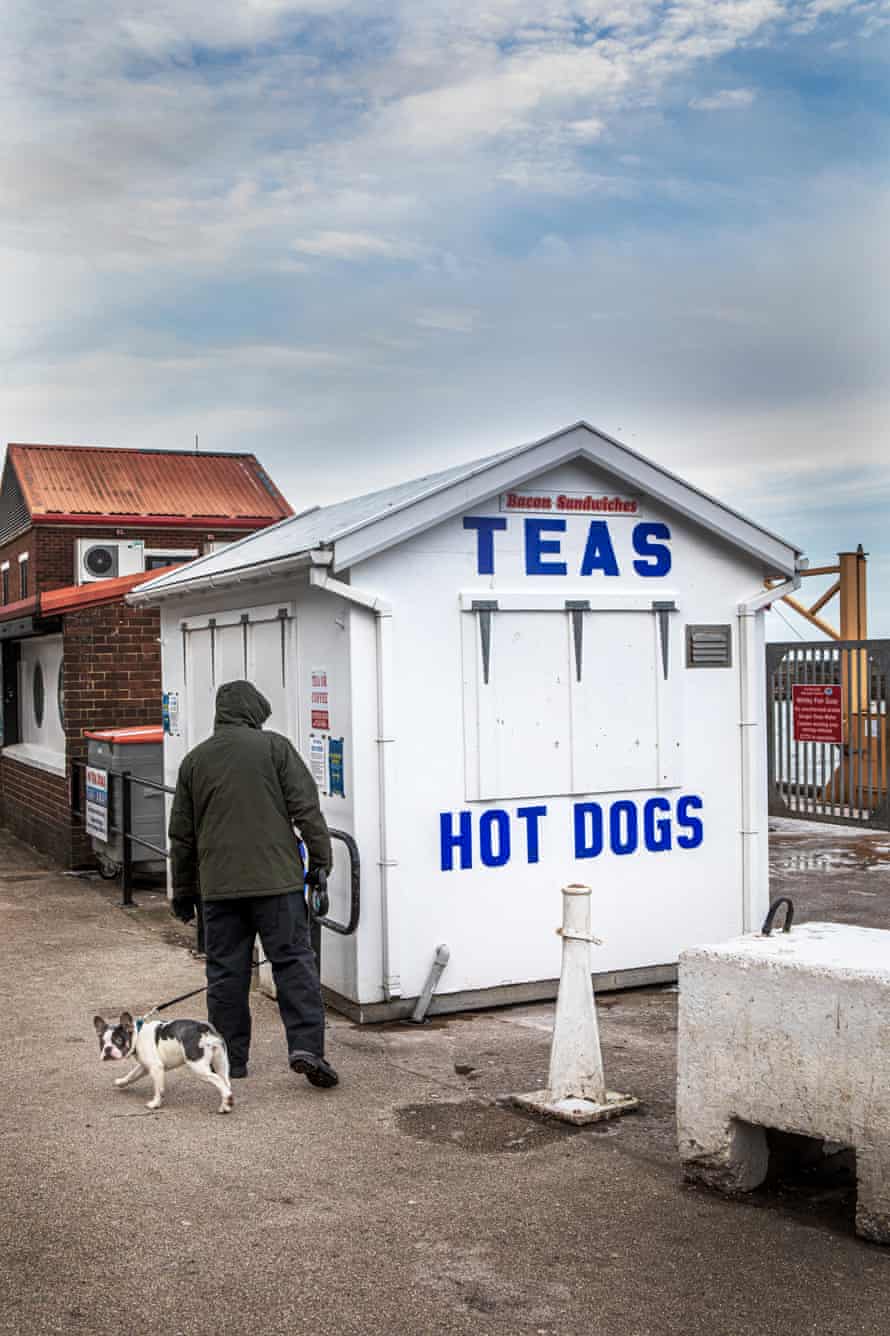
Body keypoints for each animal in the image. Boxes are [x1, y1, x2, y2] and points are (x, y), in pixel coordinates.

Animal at [94, 1010, 232, 1116]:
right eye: (102, 1042)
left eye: (118, 1040)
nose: (107, 1049)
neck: (137, 1035)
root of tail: (203, 1028)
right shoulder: (145, 1066)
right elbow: (132, 1075)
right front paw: (121, 1082)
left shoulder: (156, 1068)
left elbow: (158, 1089)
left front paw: (155, 1103)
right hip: (221, 1062)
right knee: (225, 1081)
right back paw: (226, 1104)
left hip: (198, 1066)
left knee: (218, 1080)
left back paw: (227, 1102)